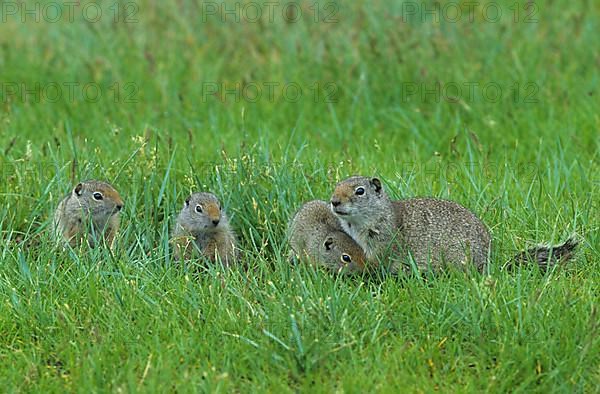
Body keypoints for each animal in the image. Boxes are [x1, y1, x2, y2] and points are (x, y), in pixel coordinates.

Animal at [330, 176, 580, 274]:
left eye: (360, 191)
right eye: (336, 185)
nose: (334, 201)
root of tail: (488, 263)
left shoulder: (382, 241)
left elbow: (375, 261)